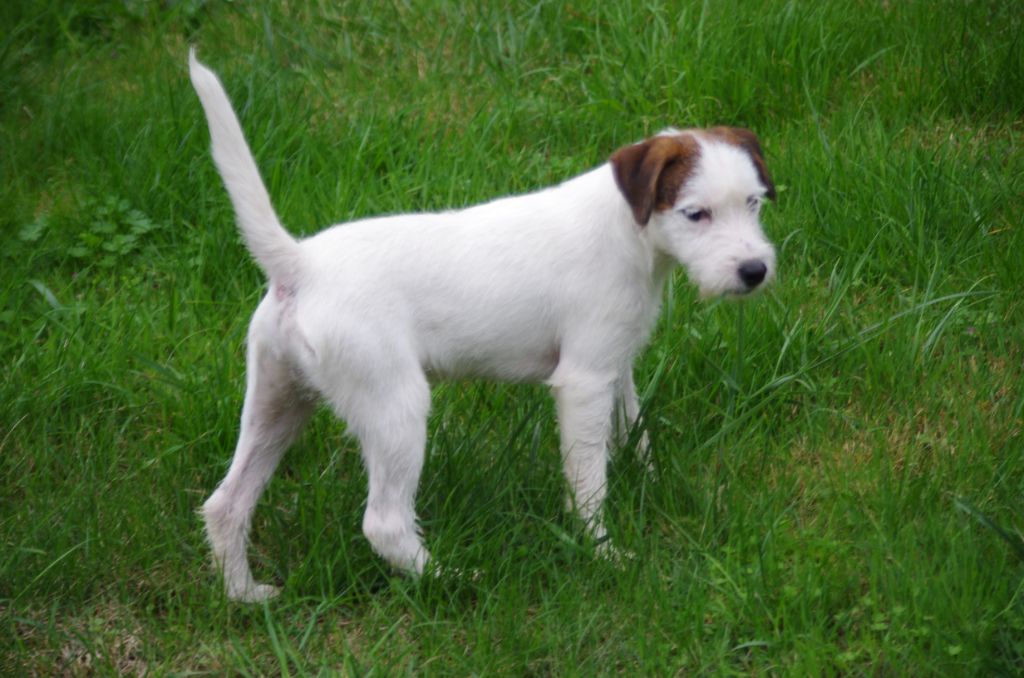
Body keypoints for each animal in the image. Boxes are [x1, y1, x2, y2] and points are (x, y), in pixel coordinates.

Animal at [189, 50, 777, 602]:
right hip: (393, 406)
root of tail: (300, 265)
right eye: (696, 214)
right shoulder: (584, 381)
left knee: (226, 503)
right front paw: (604, 552)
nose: (755, 271)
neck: (628, 230)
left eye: (752, 202)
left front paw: (648, 483)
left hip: (278, 398)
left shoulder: (616, 363)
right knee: (384, 523)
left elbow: (634, 429)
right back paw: (452, 579)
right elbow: (588, 479)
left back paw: (245, 595)